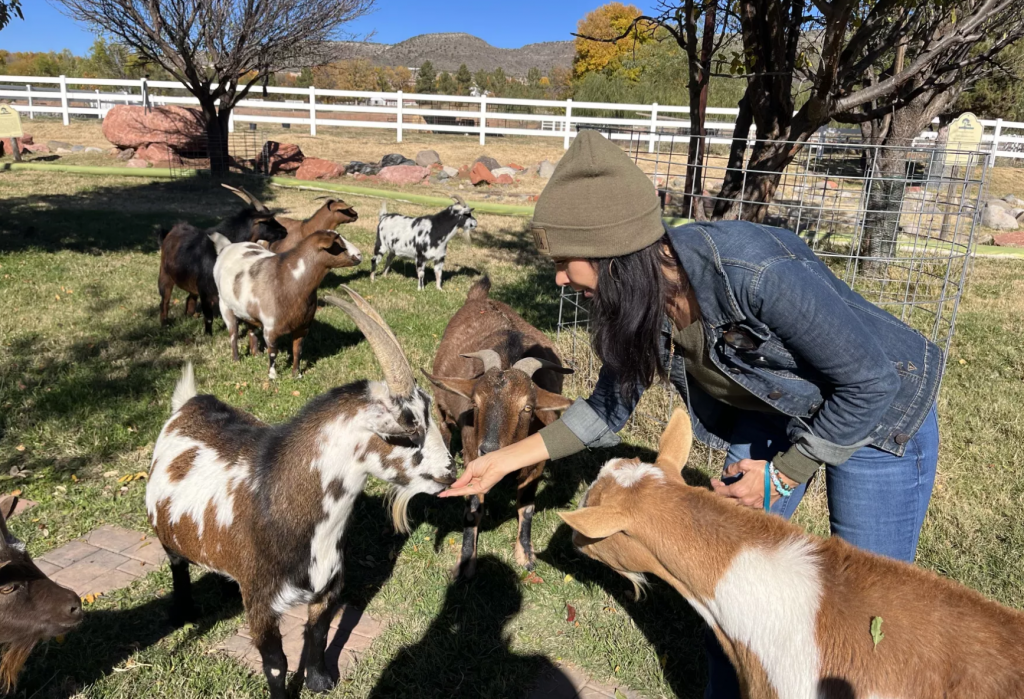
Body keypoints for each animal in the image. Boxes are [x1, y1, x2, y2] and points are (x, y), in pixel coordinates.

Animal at [146, 288, 455, 699]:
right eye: (403, 433)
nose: (450, 471)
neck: (277, 503)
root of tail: (189, 403)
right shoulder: (262, 602)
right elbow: (276, 663)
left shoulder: (328, 586)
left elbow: (318, 631)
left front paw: (320, 681)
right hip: (169, 536)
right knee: (177, 565)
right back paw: (182, 612)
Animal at [158, 191, 288, 335]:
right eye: (267, 221)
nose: (284, 231)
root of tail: (170, 231)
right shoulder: (205, 289)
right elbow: (209, 317)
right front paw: (208, 335)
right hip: (165, 275)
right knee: (165, 301)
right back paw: (164, 324)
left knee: (190, 298)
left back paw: (190, 317)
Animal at [210, 229, 362, 380]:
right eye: (338, 244)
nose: (360, 254)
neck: (288, 279)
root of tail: (227, 246)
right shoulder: (270, 328)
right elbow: (273, 352)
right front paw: (272, 376)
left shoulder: (303, 327)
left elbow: (297, 350)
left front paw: (296, 375)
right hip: (225, 306)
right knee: (233, 333)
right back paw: (236, 359)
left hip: (247, 310)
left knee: (251, 328)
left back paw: (256, 353)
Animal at [423, 277, 572, 579]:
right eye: (476, 403)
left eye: (528, 407)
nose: (489, 449)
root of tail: (478, 297)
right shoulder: (473, 458)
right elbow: (473, 508)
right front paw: (466, 561)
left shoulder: (535, 464)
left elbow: (526, 508)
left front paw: (525, 554)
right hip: (443, 409)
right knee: (444, 429)